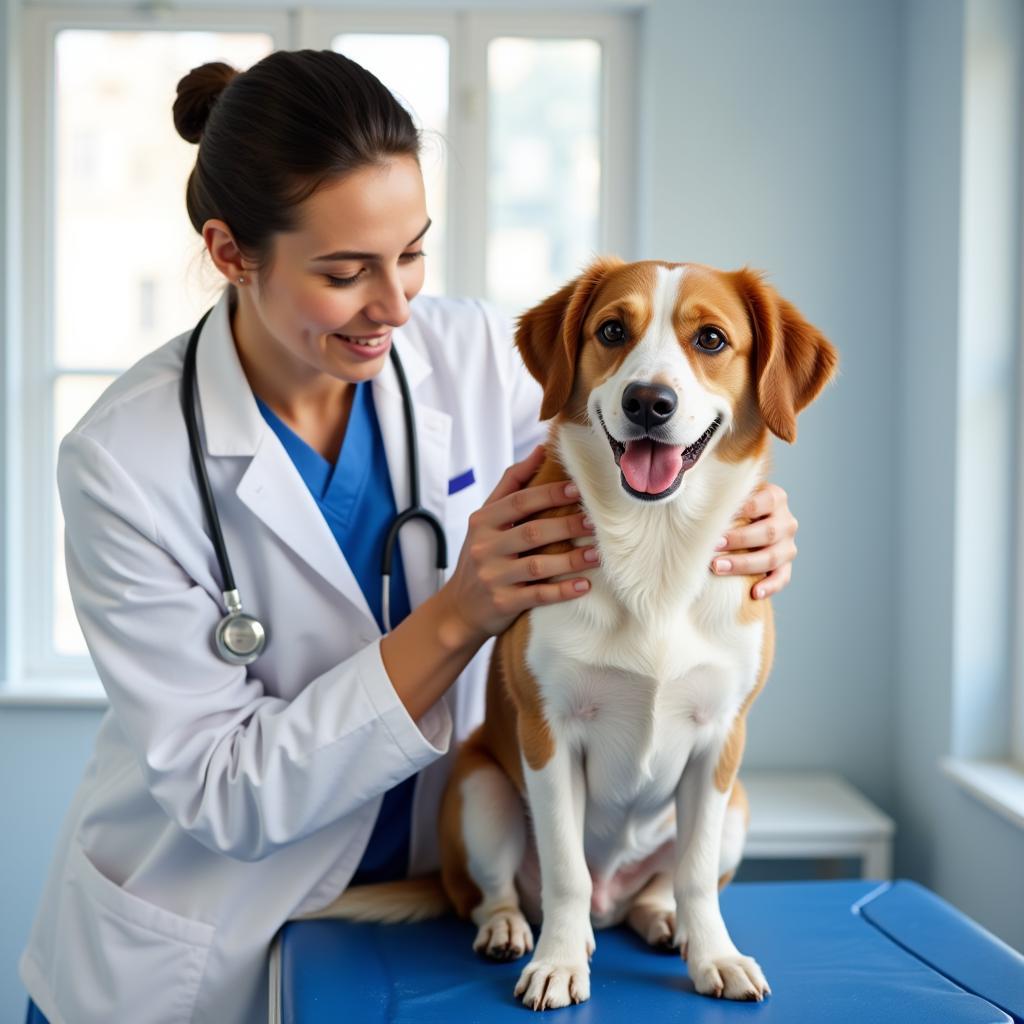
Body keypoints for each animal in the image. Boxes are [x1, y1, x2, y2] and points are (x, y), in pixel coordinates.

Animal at [315, 258, 835, 1007]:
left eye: (710, 339)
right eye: (613, 330)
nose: (649, 402)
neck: (654, 546)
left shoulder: (719, 744)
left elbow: (696, 875)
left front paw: (714, 954)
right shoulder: (549, 735)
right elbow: (565, 871)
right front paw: (560, 962)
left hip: (736, 805)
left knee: (658, 886)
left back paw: (660, 919)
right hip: (479, 790)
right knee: (498, 892)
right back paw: (512, 928)